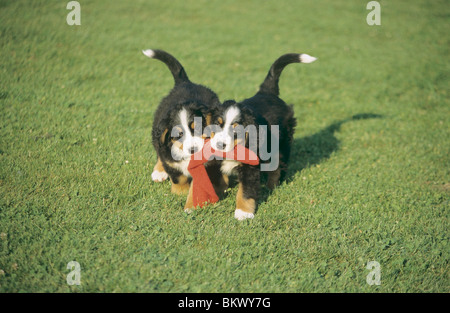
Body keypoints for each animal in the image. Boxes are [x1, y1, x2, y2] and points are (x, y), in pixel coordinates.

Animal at [143, 48, 222, 200]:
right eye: (178, 134)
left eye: (198, 128)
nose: (193, 149)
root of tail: (185, 83)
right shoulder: (171, 161)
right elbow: (178, 177)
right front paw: (180, 193)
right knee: (159, 152)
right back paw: (159, 172)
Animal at [210, 53, 316, 219]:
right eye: (217, 124)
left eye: (236, 129)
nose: (220, 145)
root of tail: (267, 92)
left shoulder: (250, 166)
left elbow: (245, 191)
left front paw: (243, 213)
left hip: (281, 143)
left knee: (278, 166)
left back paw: (271, 186)